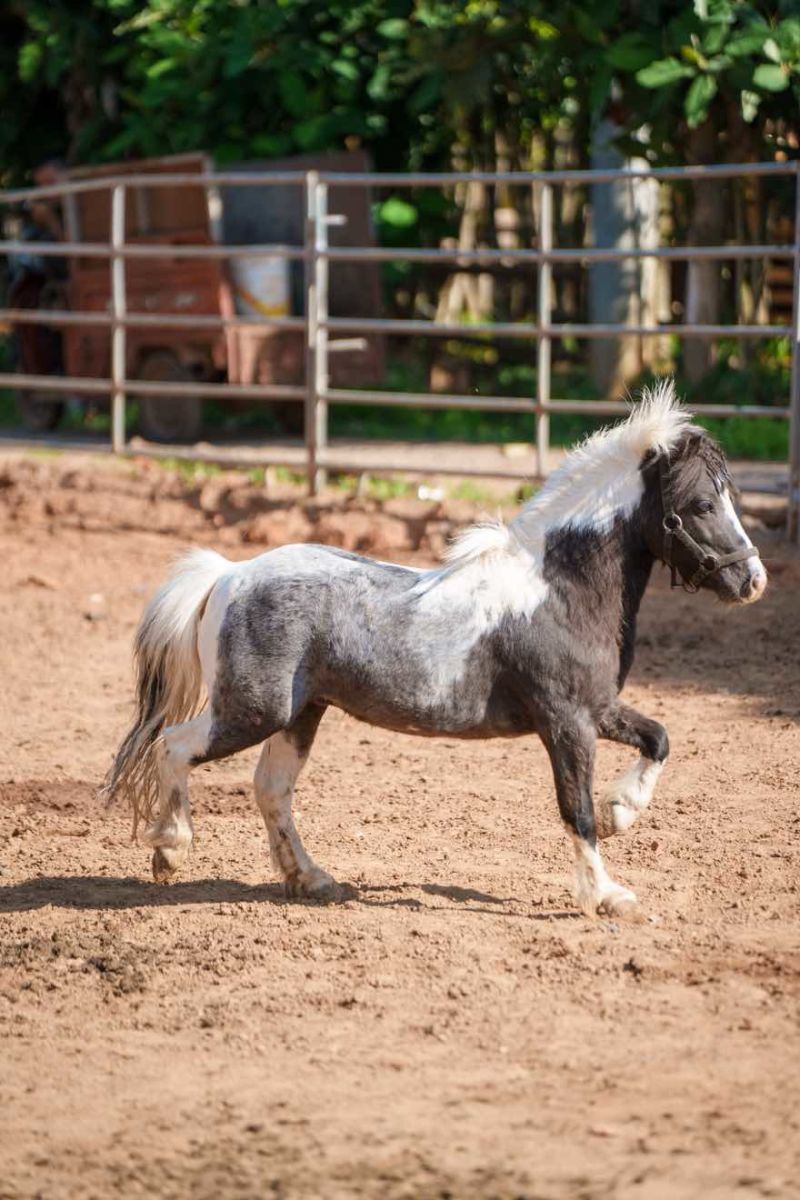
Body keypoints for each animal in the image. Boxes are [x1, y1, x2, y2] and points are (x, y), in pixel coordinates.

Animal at [102, 381, 766, 917]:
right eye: (701, 505)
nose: (752, 581)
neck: (559, 591)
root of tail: (230, 574)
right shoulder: (566, 721)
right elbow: (574, 808)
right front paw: (608, 895)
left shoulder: (597, 709)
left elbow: (659, 739)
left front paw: (622, 811)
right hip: (251, 710)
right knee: (175, 746)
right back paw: (170, 850)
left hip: (300, 713)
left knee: (271, 789)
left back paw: (313, 880)